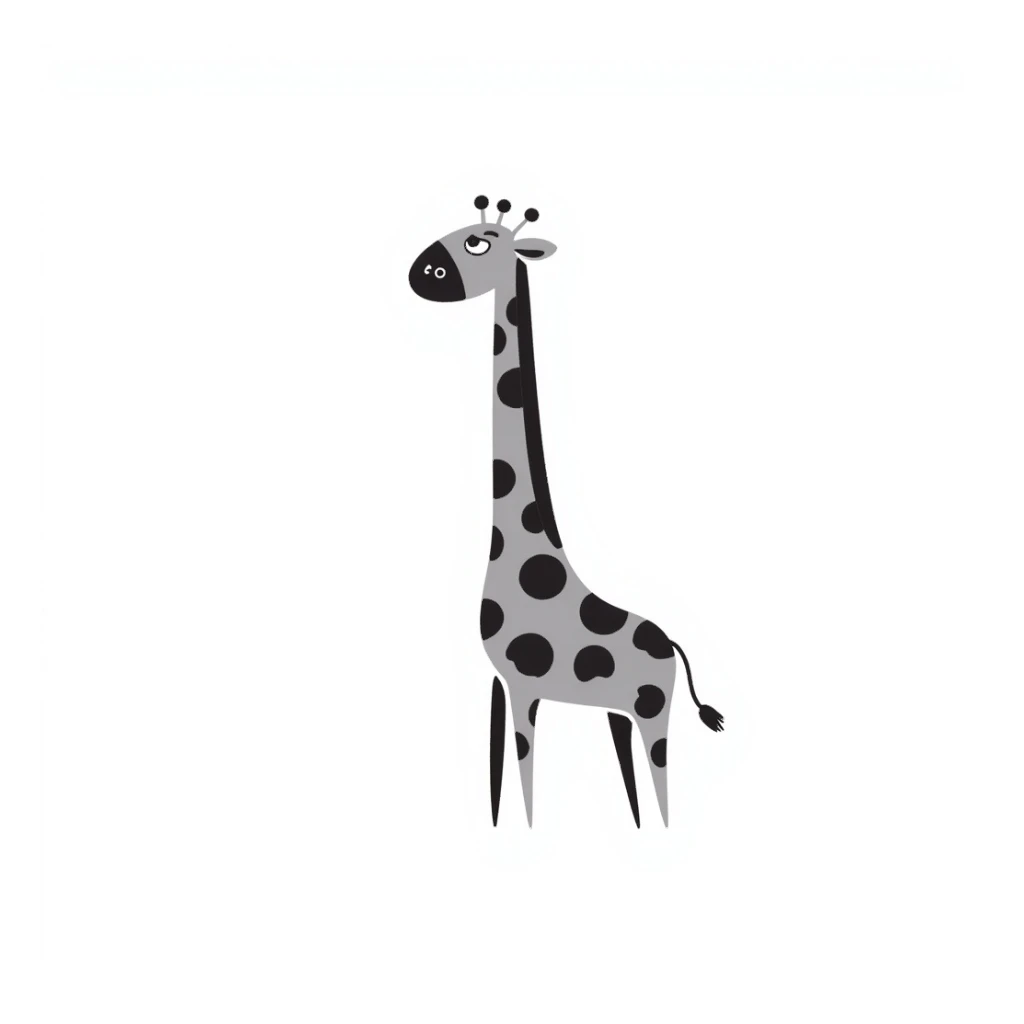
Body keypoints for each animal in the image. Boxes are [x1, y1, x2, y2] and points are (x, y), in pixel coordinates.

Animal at [408, 196, 723, 827]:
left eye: (478, 242)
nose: (421, 273)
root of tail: (671, 645)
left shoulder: (524, 687)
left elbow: (526, 778)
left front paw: (526, 831)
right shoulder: (499, 683)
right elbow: (495, 776)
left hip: (654, 711)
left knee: (661, 782)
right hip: (622, 712)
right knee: (635, 781)